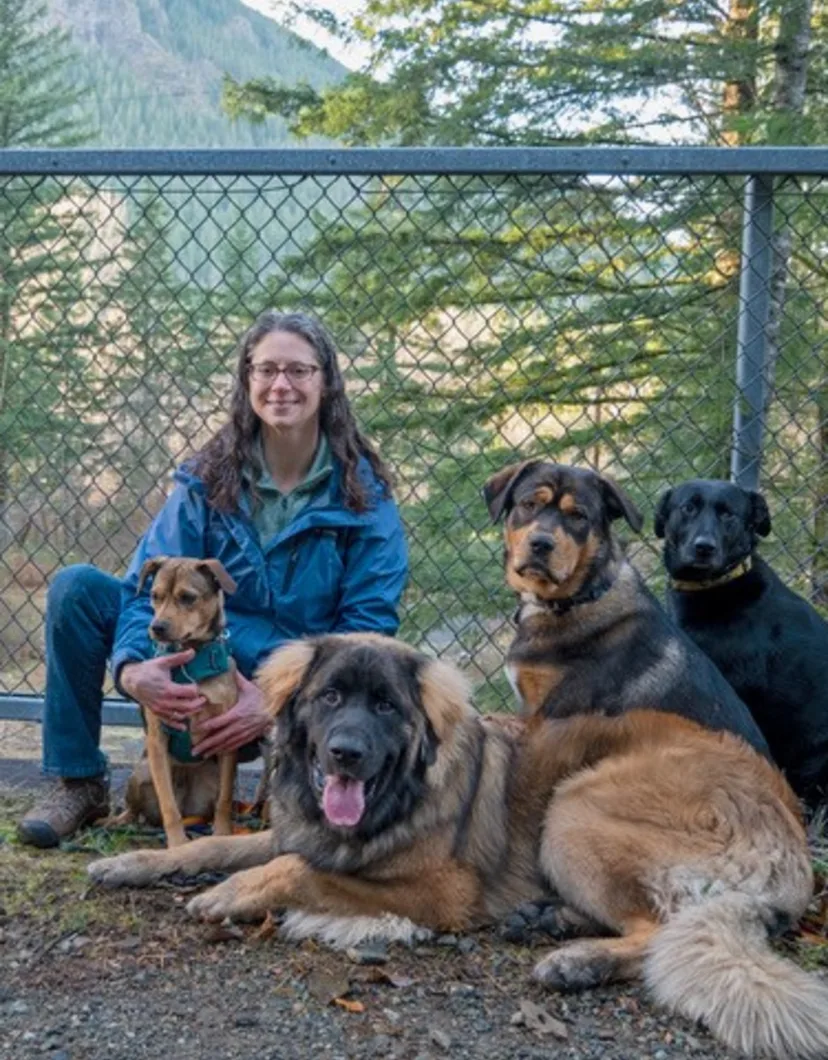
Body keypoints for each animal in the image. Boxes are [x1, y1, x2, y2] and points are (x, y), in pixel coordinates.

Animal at [89, 631, 826, 1055]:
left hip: (574, 807)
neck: (398, 793)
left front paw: (231, 895)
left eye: (386, 706)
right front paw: (131, 861)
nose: (346, 753)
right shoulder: (302, 827)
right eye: (329, 697)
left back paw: (576, 959)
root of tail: (786, 826)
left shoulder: (439, 888)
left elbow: (303, 870)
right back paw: (549, 919)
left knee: (658, 928)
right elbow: (212, 847)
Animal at [121, 559, 240, 847]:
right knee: (133, 809)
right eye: (155, 595)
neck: (191, 663)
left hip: (209, 779)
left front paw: (222, 833)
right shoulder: (158, 739)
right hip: (141, 773)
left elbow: (225, 799)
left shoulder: (227, 737)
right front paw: (177, 844)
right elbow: (168, 804)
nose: (157, 627)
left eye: (187, 597)